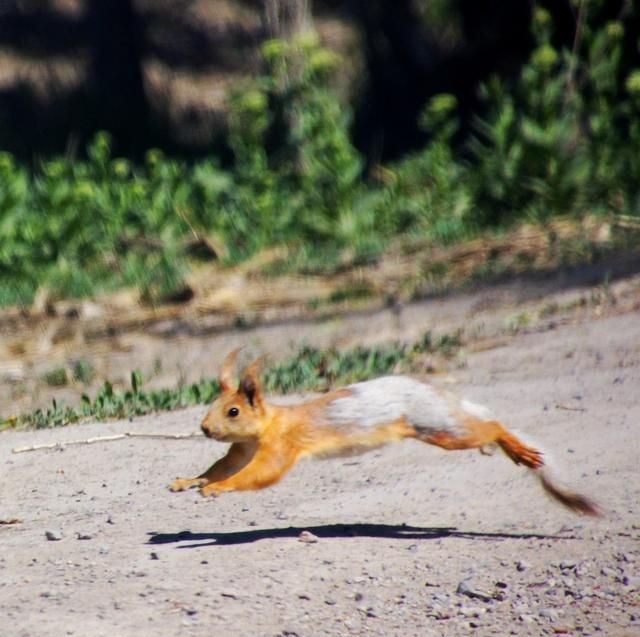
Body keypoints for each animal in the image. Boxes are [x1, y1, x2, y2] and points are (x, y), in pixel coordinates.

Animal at [169, 346, 600, 516]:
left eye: (234, 410)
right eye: (210, 407)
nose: (204, 428)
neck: (265, 426)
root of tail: (433, 392)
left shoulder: (280, 446)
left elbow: (259, 475)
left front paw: (217, 489)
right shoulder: (240, 450)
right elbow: (221, 466)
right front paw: (189, 480)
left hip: (439, 428)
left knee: (490, 427)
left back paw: (515, 448)